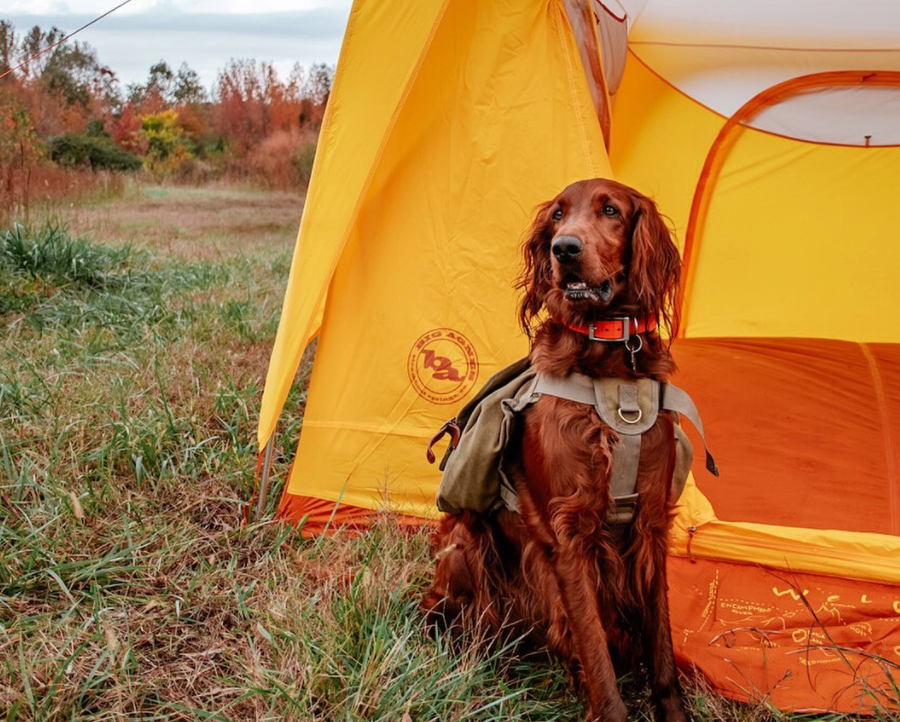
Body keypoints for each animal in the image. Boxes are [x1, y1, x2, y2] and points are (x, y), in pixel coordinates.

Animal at [426, 176, 684, 720]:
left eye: (610, 210)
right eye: (558, 216)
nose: (564, 248)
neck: (610, 372)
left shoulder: (651, 523)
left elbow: (663, 652)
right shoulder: (569, 534)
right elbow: (597, 654)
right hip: (465, 539)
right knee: (453, 614)